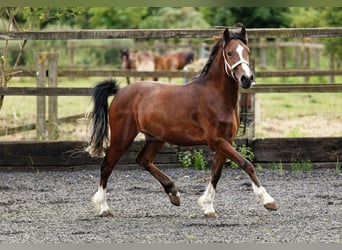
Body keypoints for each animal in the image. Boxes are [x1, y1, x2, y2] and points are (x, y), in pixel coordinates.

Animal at [87, 24, 276, 217]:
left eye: (247, 51)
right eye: (230, 53)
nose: (247, 79)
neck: (216, 96)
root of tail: (119, 91)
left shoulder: (226, 141)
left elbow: (216, 174)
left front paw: (208, 207)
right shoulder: (216, 141)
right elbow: (246, 164)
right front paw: (268, 200)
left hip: (155, 138)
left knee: (143, 160)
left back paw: (173, 193)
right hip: (122, 138)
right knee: (106, 166)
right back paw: (103, 208)